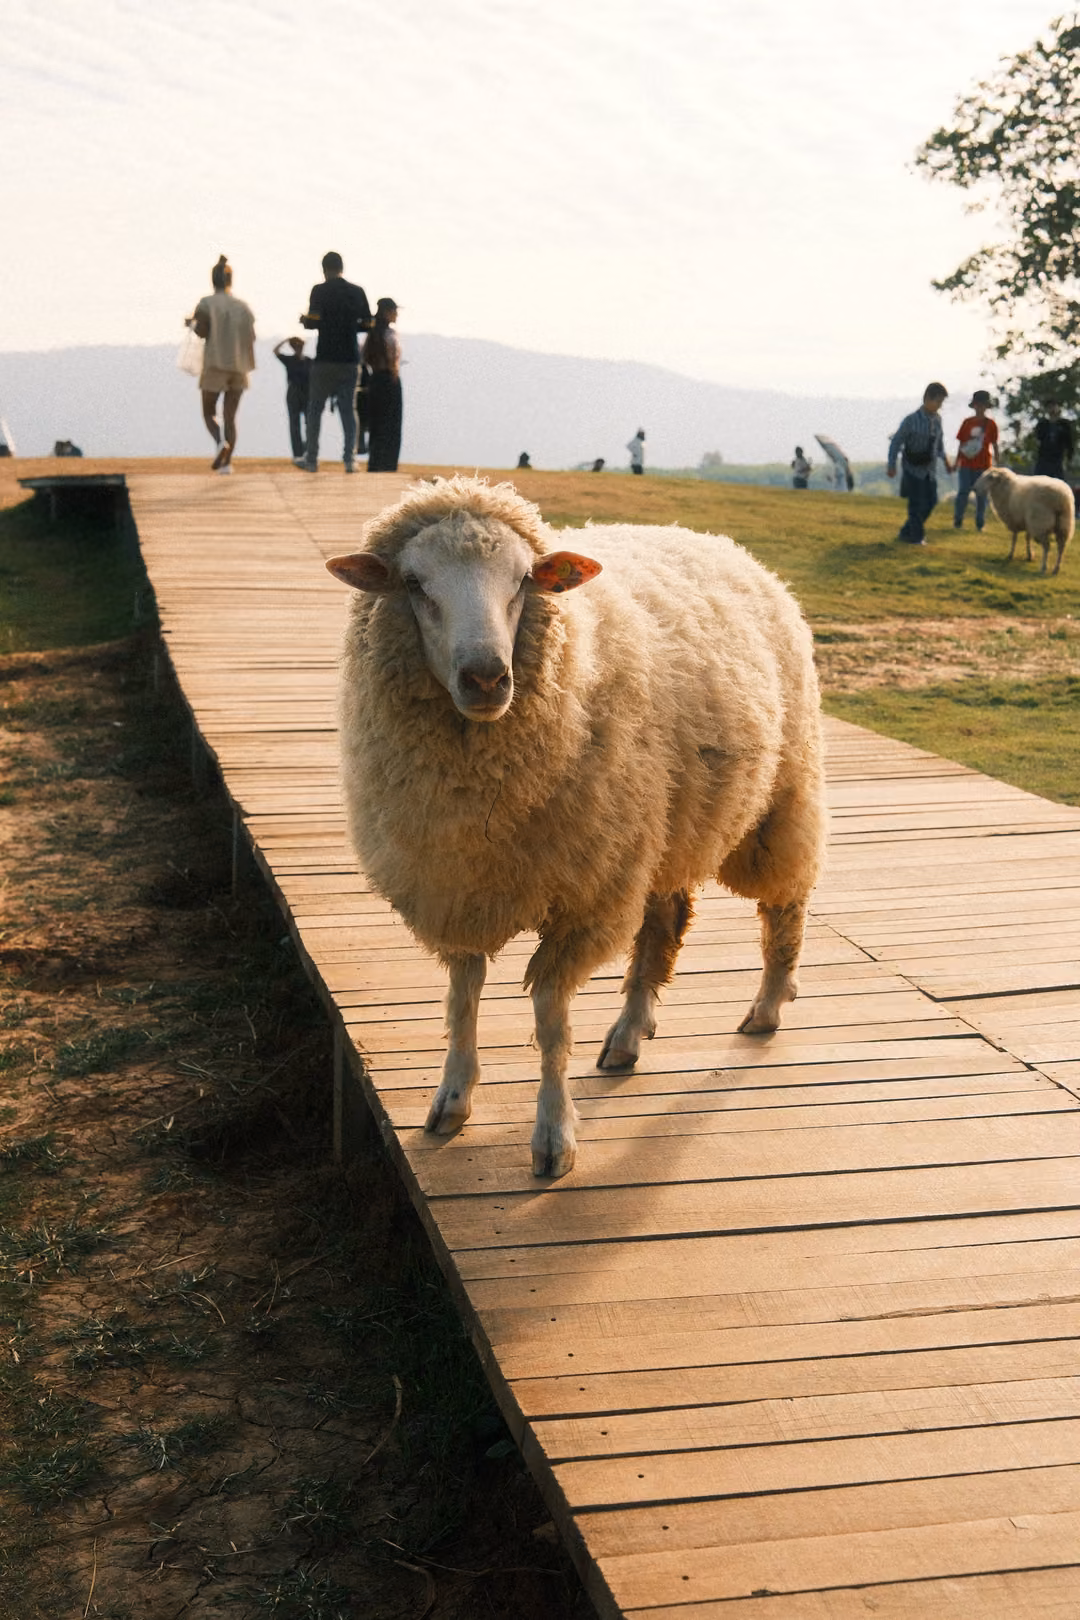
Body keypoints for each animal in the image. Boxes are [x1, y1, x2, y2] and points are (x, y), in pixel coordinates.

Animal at [327, 476, 826, 1179]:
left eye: (522, 581)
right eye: (414, 583)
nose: (487, 678)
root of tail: (712, 539)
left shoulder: (585, 894)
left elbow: (550, 1017)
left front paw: (554, 1136)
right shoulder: (455, 883)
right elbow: (463, 995)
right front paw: (451, 1099)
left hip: (778, 797)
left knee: (787, 900)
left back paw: (769, 1005)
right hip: (663, 822)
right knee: (664, 921)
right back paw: (629, 1033)